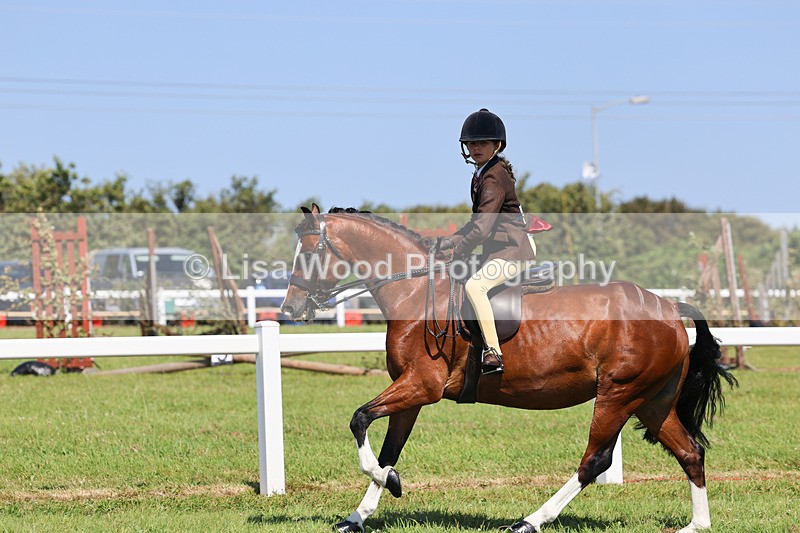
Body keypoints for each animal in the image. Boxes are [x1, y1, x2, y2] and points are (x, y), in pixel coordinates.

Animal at [280, 204, 736, 533]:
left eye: (313, 253)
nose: (289, 310)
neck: (414, 290)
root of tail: (670, 308)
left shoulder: (422, 385)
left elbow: (359, 420)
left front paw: (390, 485)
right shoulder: (411, 393)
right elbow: (389, 450)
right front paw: (358, 516)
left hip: (619, 393)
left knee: (595, 460)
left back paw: (530, 521)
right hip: (652, 401)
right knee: (690, 452)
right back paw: (696, 525)